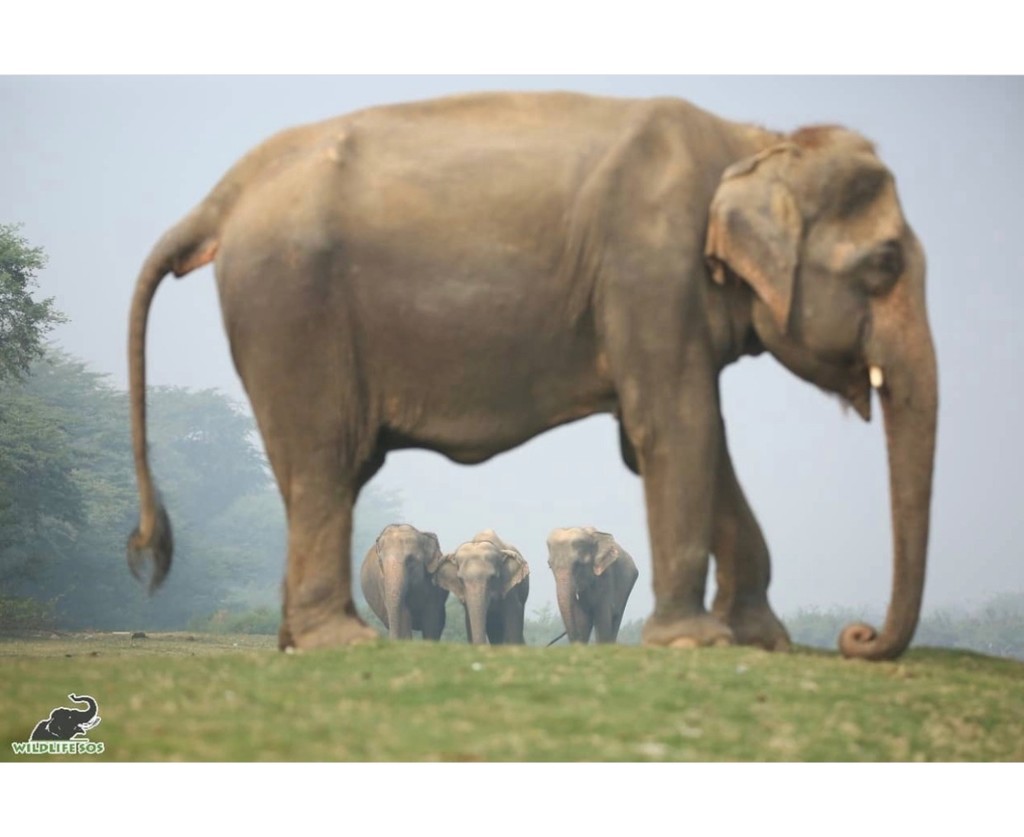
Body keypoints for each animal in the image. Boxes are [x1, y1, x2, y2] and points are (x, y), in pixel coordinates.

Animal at [127, 91, 937, 660]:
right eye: (884, 264)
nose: (859, 638)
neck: (751, 144)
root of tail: (224, 195)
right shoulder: (650, 268)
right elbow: (677, 424)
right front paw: (697, 642)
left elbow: (682, 432)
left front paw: (759, 641)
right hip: (292, 303)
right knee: (328, 453)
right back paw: (339, 644)